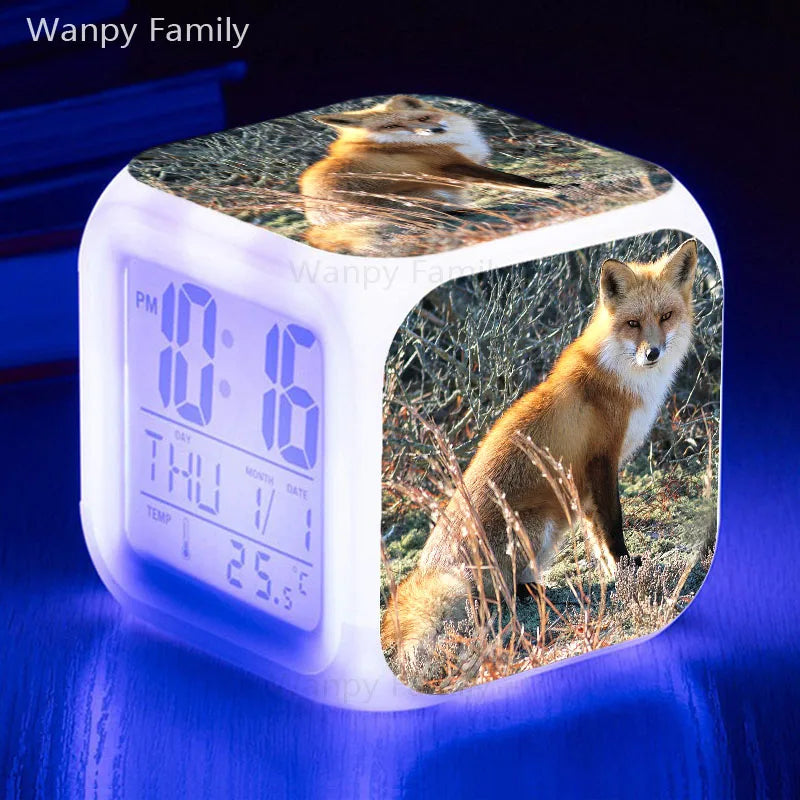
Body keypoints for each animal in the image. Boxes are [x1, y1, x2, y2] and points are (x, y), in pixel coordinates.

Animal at [299, 95, 563, 255]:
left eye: (423, 118)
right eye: (391, 126)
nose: (434, 130)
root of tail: (318, 225)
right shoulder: (454, 166)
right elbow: (515, 179)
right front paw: (552, 188)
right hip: (428, 195)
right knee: (436, 216)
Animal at [381, 239, 698, 685]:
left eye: (665, 316)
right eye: (633, 323)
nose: (652, 353)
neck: (623, 378)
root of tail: (429, 568)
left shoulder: (587, 482)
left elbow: (596, 535)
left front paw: (610, 571)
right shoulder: (600, 461)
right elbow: (613, 525)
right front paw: (626, 568)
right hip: (534, 526)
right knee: (495, 596)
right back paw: (534, 592)